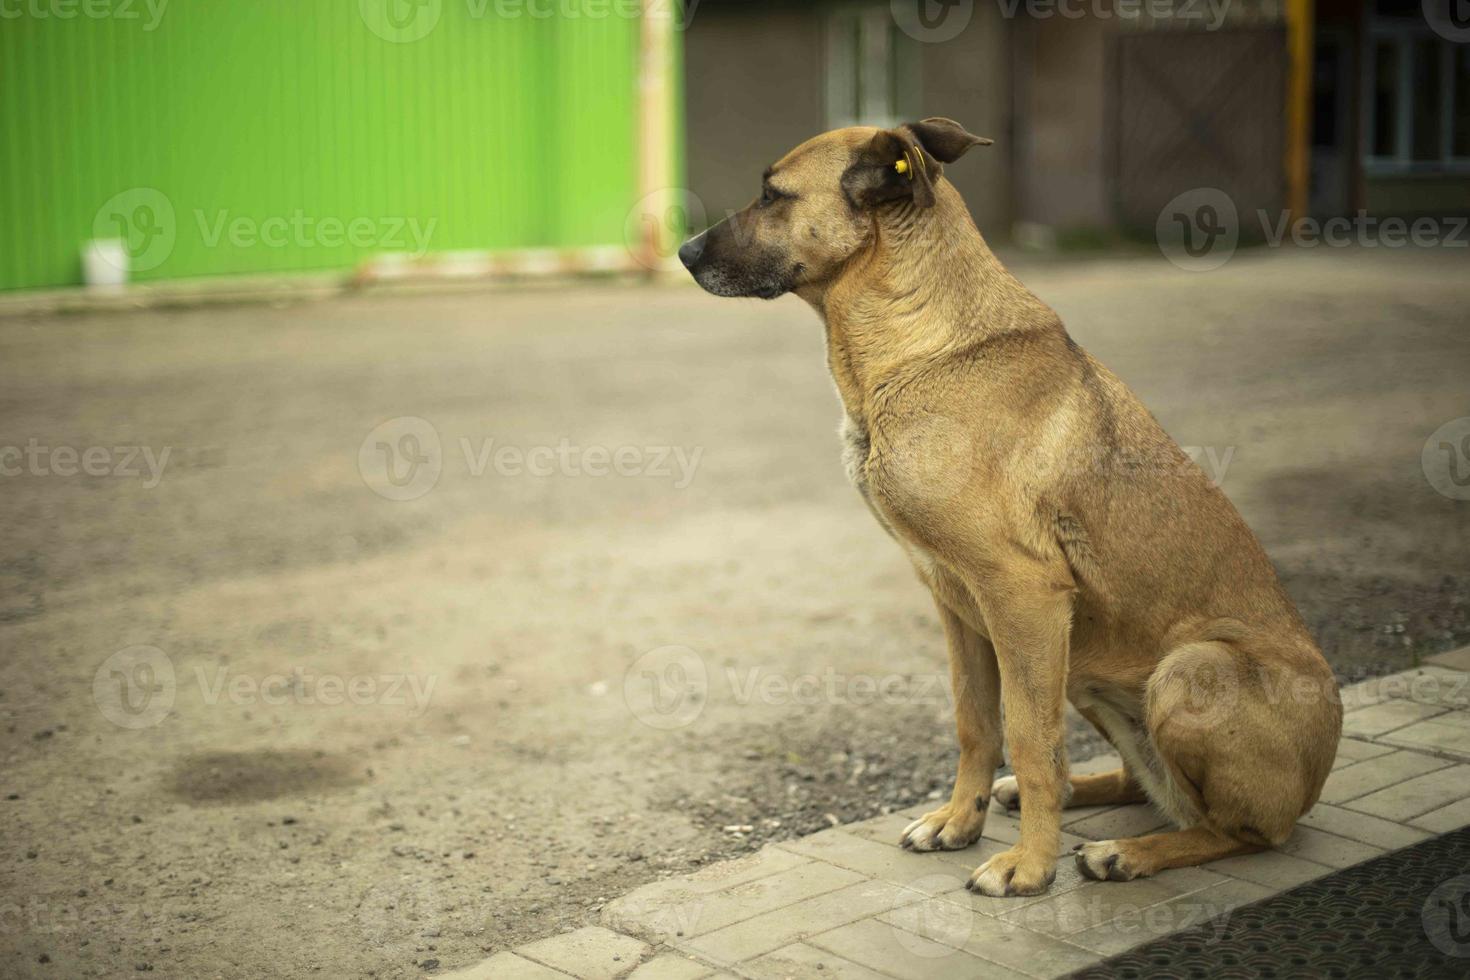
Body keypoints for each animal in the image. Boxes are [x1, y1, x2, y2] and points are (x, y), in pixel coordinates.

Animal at [676, 116, 1346, 899]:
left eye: (771, 196)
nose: (683, 253)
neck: (922, 341)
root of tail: (1313, 783)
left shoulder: (1023, 596)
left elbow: (1029, 738)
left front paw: (1029, 866)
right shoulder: (958, 601)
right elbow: (977, 723)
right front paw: (959, 822)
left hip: (1185, 670)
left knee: (1240, 831)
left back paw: (1129, 853)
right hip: (1088, 670)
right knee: (1145, 785)